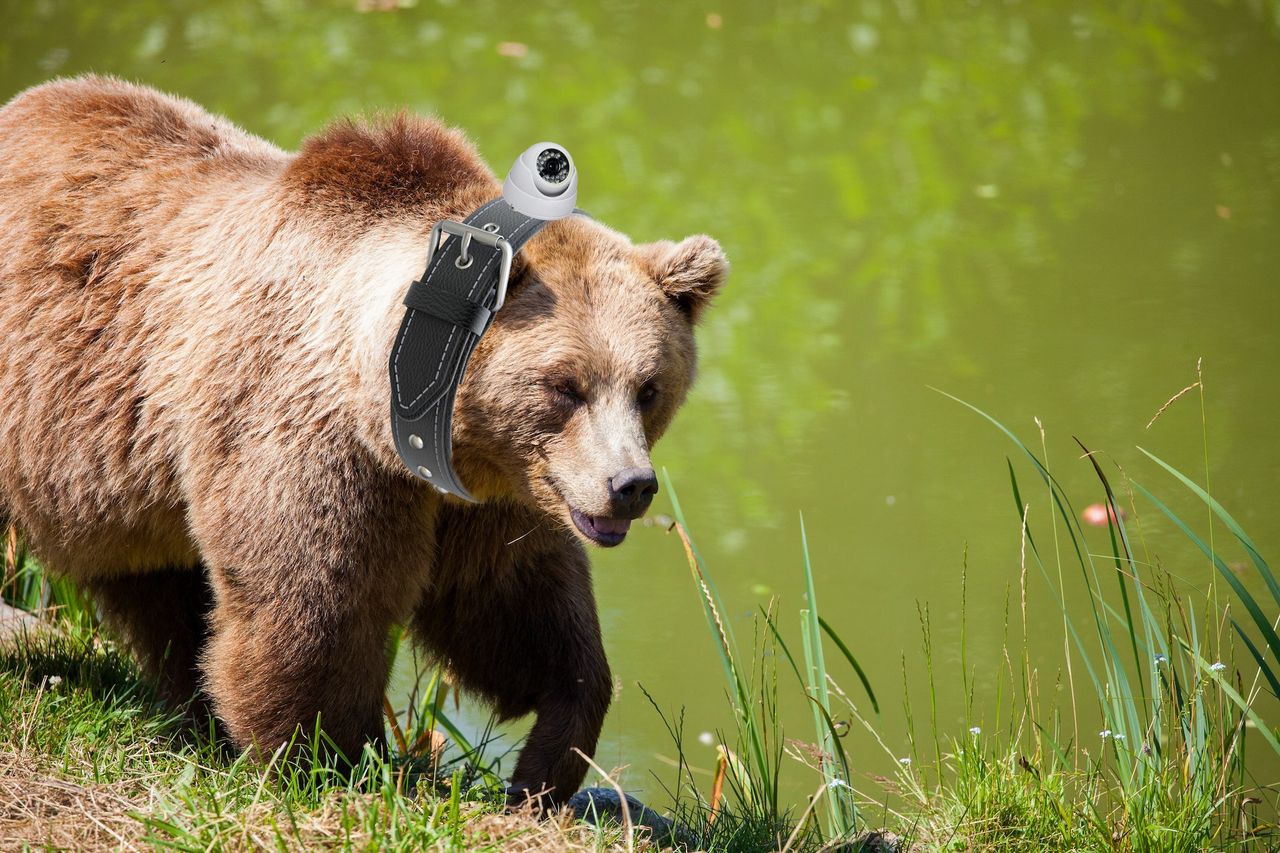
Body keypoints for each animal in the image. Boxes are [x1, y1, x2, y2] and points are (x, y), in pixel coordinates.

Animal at [0, 74, 727, 804]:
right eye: (565, 386)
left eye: (648, 387)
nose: (630, 485)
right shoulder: (311, 437)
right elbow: (315, 604)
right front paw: (333, 760)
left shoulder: (486, 495)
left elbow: (514, 606)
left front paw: (547, 760)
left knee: (155, 584)